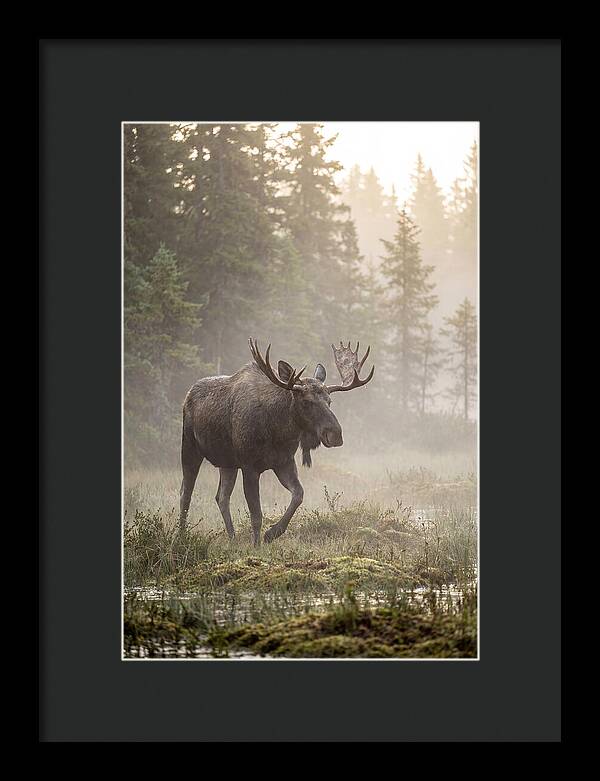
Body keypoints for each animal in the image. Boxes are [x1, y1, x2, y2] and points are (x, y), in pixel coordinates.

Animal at [179, 338, 374, 545]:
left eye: (329, 401)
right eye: (306, 401)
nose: (335, 434)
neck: (278, 431)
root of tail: (188, 395)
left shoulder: (284, 462)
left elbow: (298, 495)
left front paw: (272, 533)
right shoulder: (249, 466)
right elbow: (256, 515)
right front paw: (256, 545)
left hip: (227, 462)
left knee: (221, 497)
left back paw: (232, 538)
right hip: (189, 447)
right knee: (185, 493)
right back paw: (181, 535)